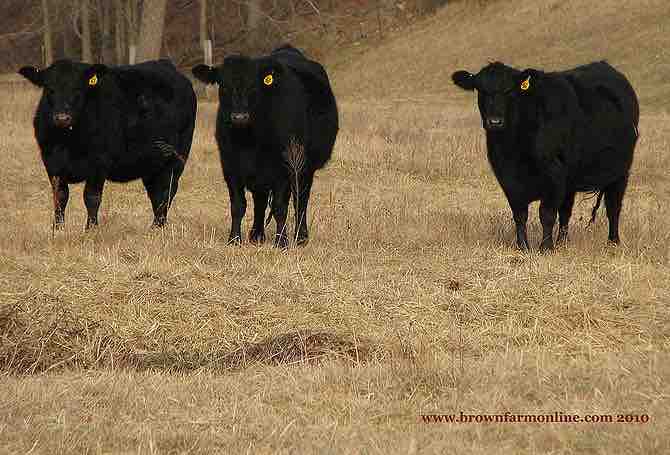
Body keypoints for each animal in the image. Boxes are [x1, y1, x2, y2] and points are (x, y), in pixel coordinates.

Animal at [452, 60, 640, 251]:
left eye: (509, 90)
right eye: (481, 90)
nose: (495, 122)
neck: (514, 149)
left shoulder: (553, 174)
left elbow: (547, 214)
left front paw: (546, 247)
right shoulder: (508, 179)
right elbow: (520, 215)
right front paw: (523, 246)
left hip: (621, 171)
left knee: (613, 207)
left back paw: (613, 242)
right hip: (571, 178)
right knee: (566, 212)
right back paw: (563, 242)